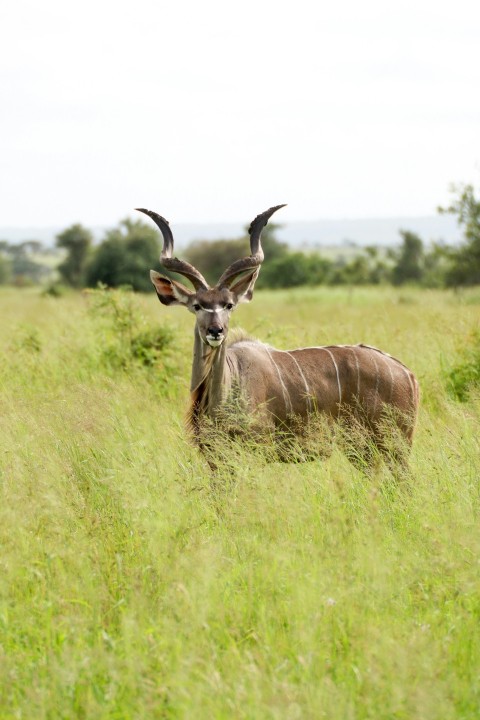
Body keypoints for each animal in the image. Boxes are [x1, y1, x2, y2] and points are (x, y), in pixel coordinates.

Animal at [138, 205, 419, 471]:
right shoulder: (216, 457)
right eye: (197, 306)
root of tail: (408, 374)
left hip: (393, 444)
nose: (216, 331)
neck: (226, 388)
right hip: (362, 449)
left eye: (229, 305)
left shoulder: (254, 449)